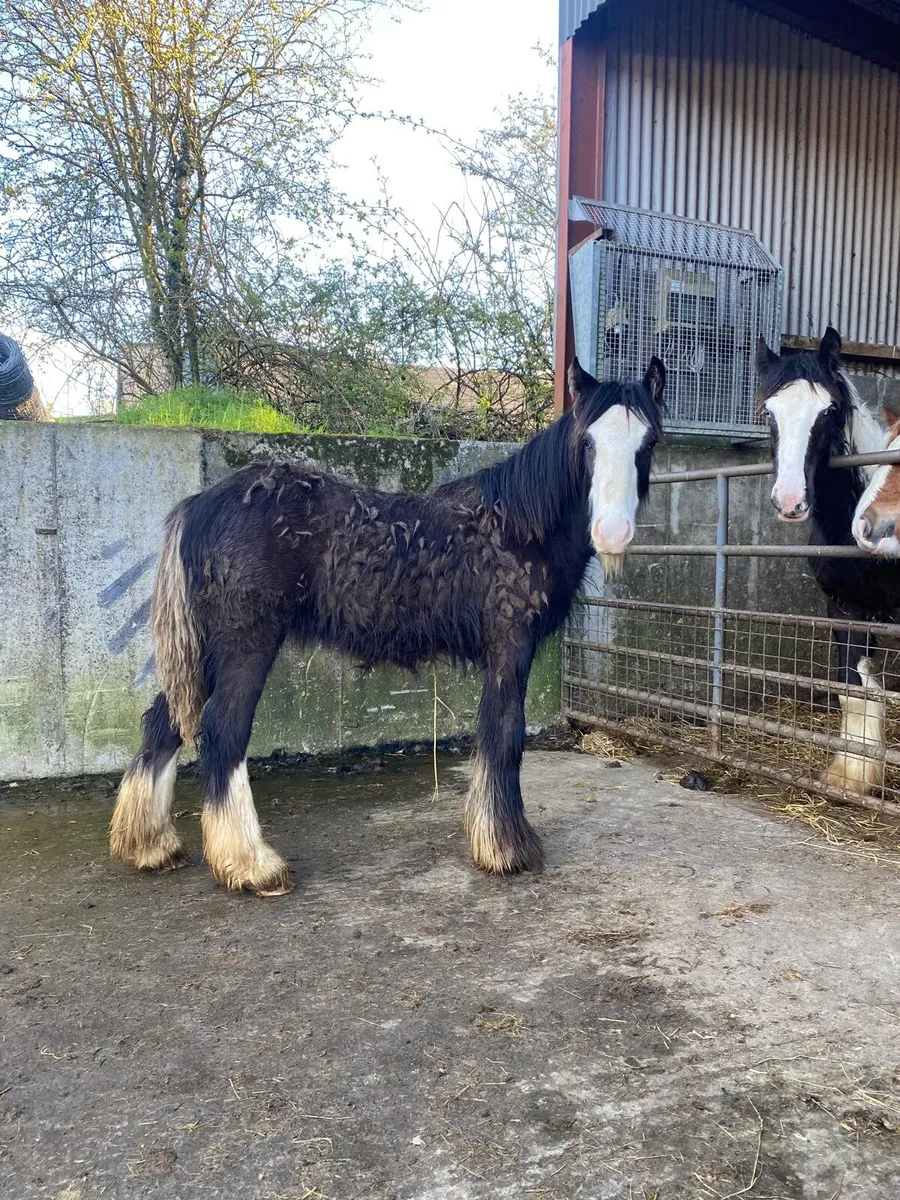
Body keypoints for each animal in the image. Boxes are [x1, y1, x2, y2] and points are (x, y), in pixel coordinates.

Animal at [110, 358, 666, 896]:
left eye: (648, 443)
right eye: (588, 442)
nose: (613, 533)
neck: (514, 525)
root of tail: (200, 504)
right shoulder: (511, 645)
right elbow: (504, 734)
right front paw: (506, 849)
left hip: (207, 652)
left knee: (163, 723)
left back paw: (151, 844)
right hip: (246, 643)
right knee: (223, 730)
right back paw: (252, 866)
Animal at [756, 326, 900, 795]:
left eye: (829, 410)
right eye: (768, 412)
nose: (790, 501)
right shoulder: (844, 608)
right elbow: (853, 688)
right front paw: (852, 774)